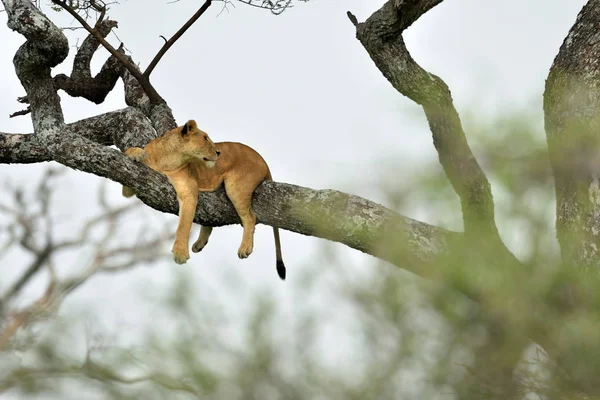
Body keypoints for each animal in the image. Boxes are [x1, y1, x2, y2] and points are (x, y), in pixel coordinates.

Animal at [122, 120, 286, 280]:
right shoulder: (134, 184)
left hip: (236, 187)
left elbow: (184, 224)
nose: (219, 152)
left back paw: (245, 248)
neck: (169, 158)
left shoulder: (189, 191)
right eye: (205, 138)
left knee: (250, 217)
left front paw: (180, 253)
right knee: (210, 218)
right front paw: (136, 153)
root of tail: (262, 160)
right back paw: (199, 244)